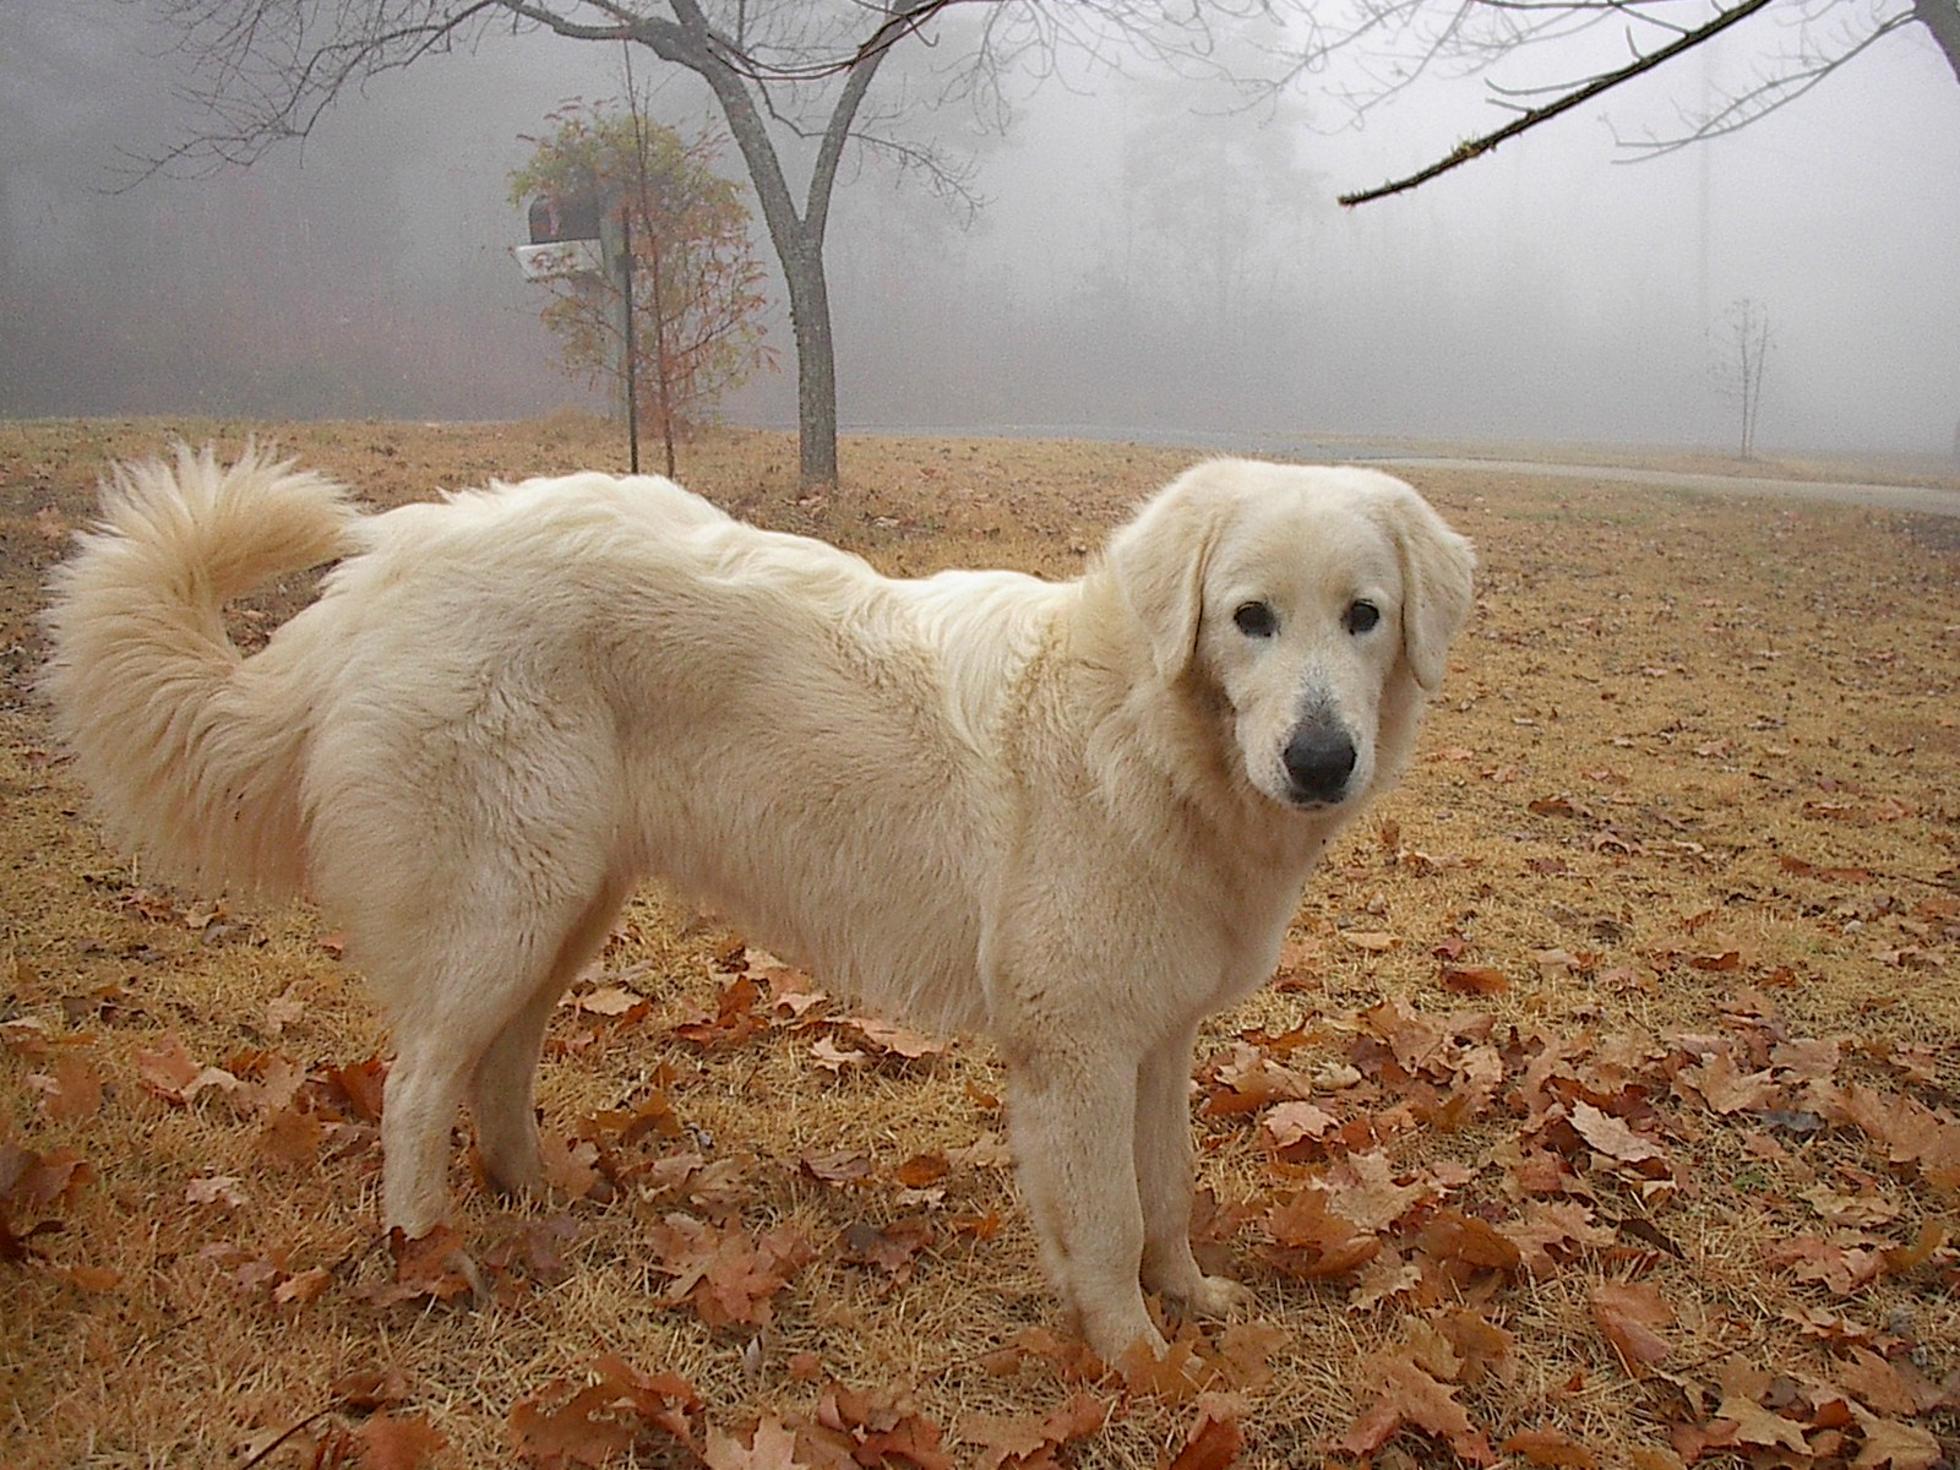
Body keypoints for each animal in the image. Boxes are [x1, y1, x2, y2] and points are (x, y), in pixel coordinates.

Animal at [42, 446, 1473, 1356]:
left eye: (1361, 616)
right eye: (1248, 618)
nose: (1320, 759)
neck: (1140, 734)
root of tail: (388, 563)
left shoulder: (1154, 1039)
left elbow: (1167, 1191)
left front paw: (1190, 1305)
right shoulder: (1072, 1048)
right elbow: (1110, 1218)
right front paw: (1136, 1364)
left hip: (563, 909)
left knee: (496, 1067)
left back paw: (538, 1195)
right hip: (502, 908)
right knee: (412, 1085)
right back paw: (420, 1251)